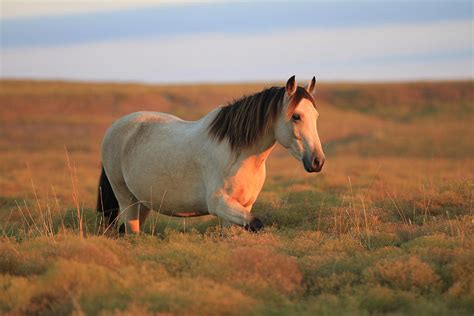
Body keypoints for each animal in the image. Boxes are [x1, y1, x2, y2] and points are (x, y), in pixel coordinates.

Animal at [96, 76, 326, 235]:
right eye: (296, 116)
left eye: (316, 116)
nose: (317, 161)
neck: (238, 154)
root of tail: (115, 128)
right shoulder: (220, 204)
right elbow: (257, 224)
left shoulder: (241, 207)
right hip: (126, 199)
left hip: (142, 202)